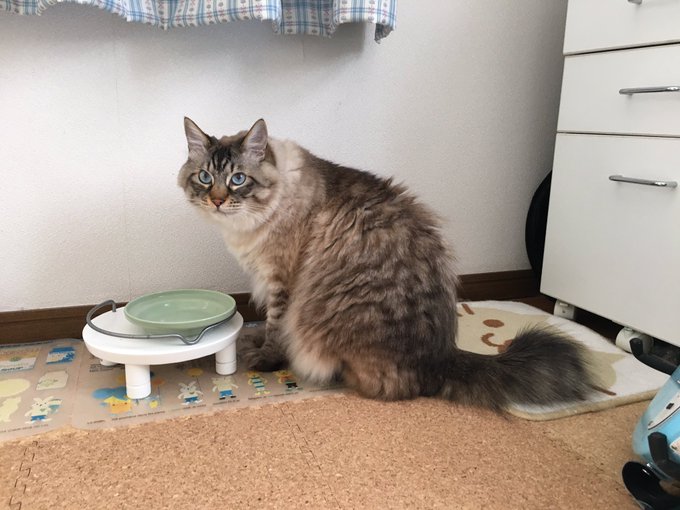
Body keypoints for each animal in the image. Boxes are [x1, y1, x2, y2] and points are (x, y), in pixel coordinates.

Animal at [178, 117, 595, 411]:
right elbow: (264, 324)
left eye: (237, 179)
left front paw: (265, 356)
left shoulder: (282, 282)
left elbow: (275, 329)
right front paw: (254, 338)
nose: (217, 200)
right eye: (205, 177)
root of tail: (441, 357)